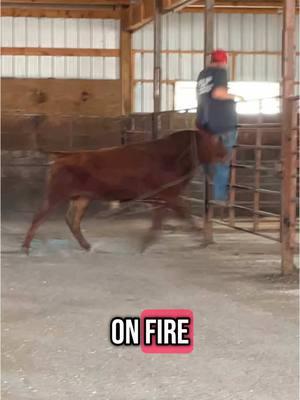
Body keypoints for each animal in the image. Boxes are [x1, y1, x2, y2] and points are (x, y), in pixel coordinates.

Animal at [22, 129, 225, 253]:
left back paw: (86, 245)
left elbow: (159, 220)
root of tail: (65, 155)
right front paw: (199, 234)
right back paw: (25, 247)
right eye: (212, 141)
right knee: (39, 216)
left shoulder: (162, 198)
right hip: (56, 195)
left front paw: (146, 243)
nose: (225, 154)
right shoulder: (168, 194)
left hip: (82, 198)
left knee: (73, 220)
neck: (172, 156)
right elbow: (184, 212)